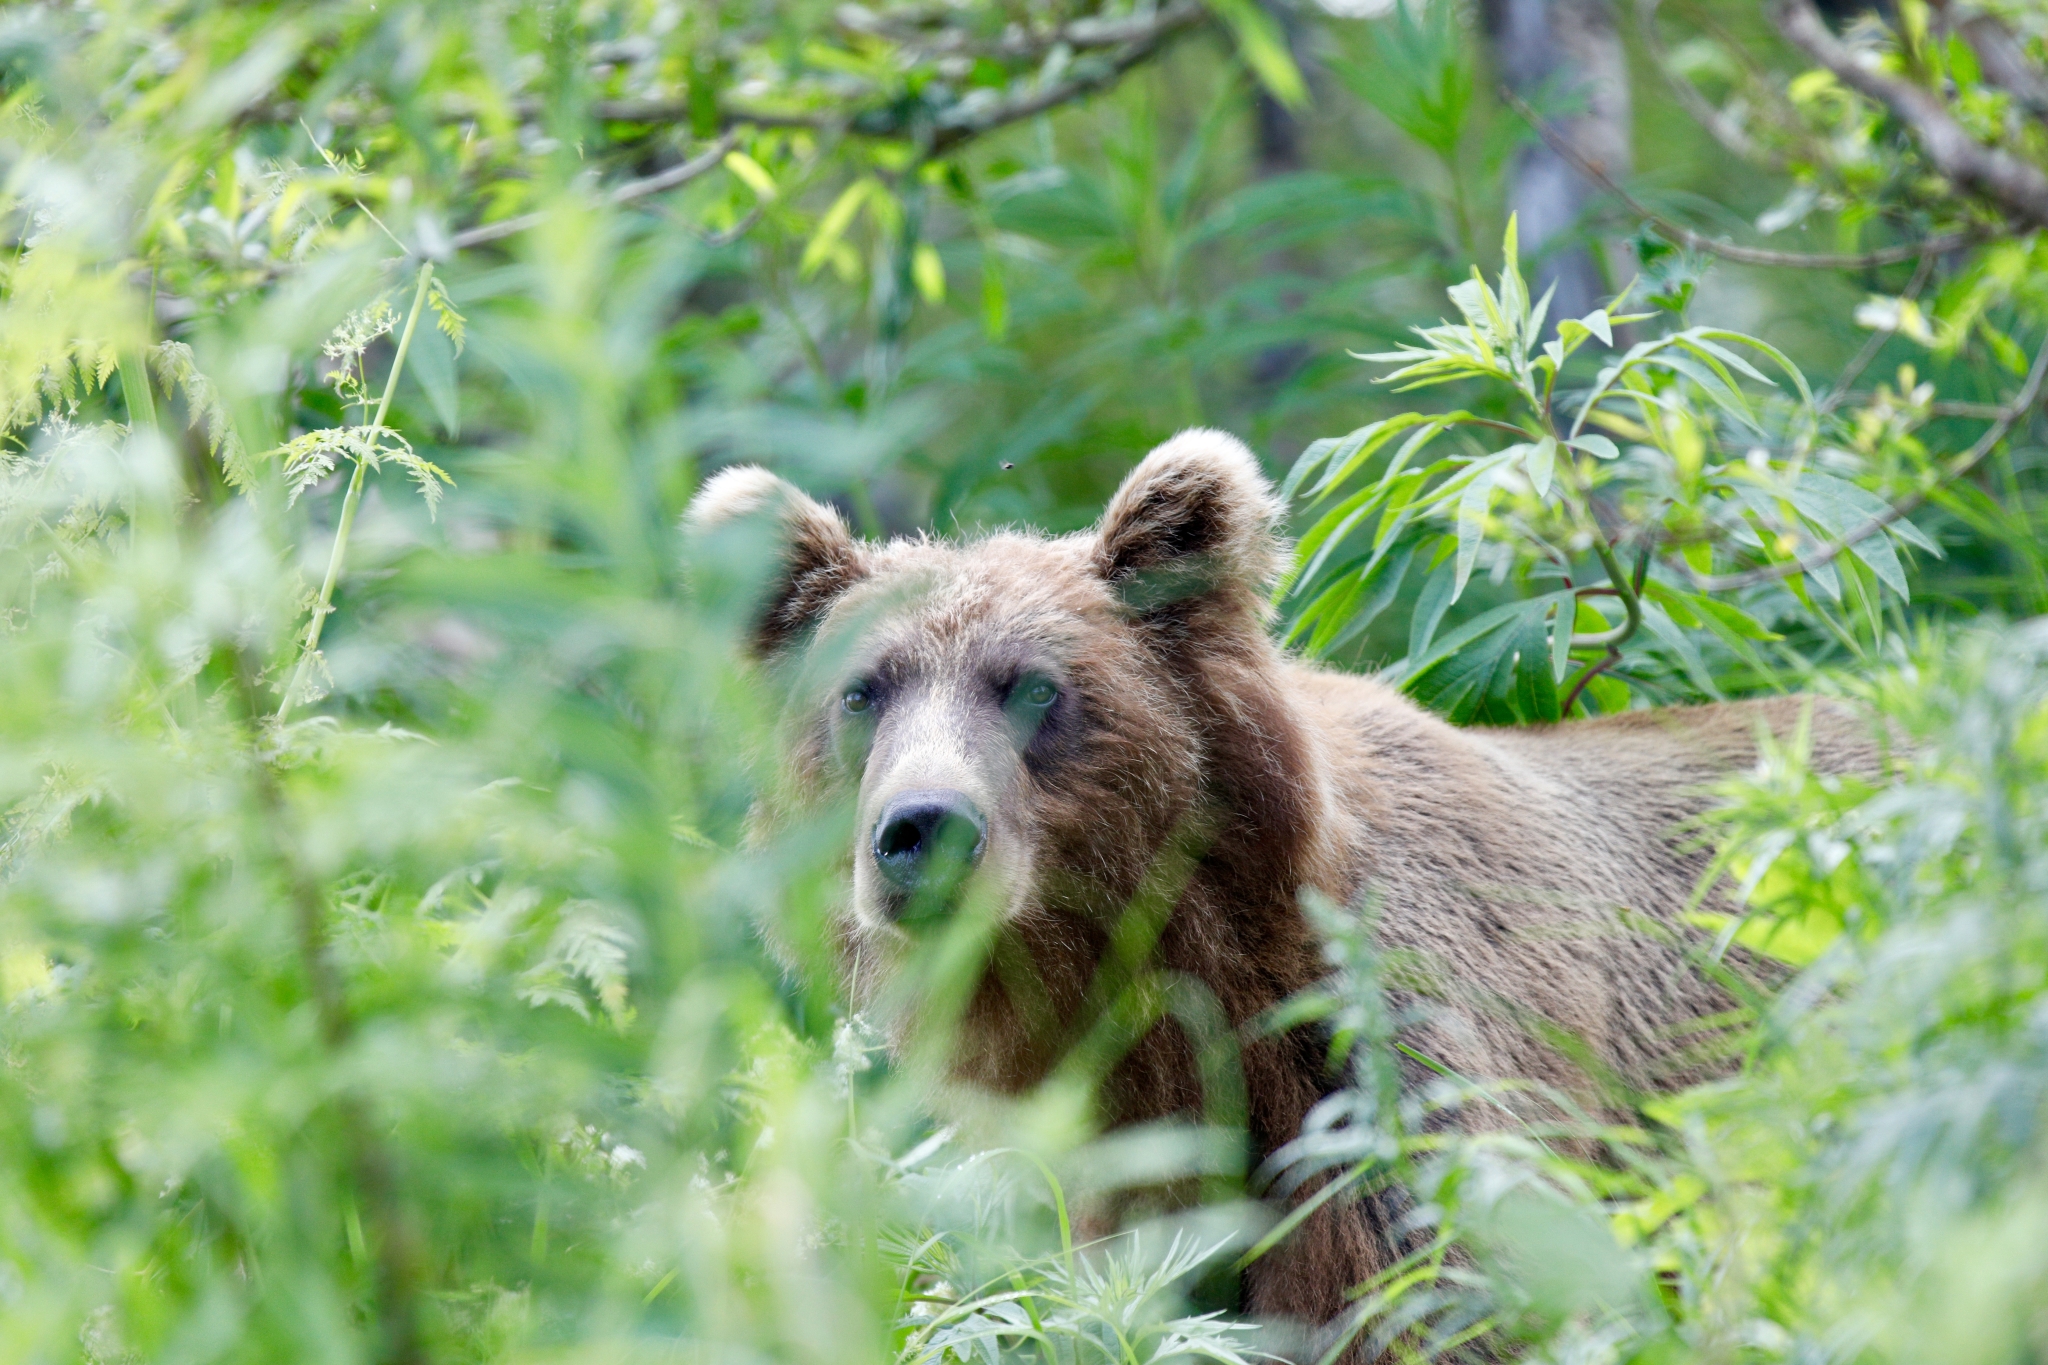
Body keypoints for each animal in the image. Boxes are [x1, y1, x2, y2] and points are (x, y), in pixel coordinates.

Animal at [688, 427, 1884, 1358]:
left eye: (1031, 688)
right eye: (860, 691)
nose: (921, 830)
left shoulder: (1383, 1083)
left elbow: (1440, 1295)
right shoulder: (1122, 1170)